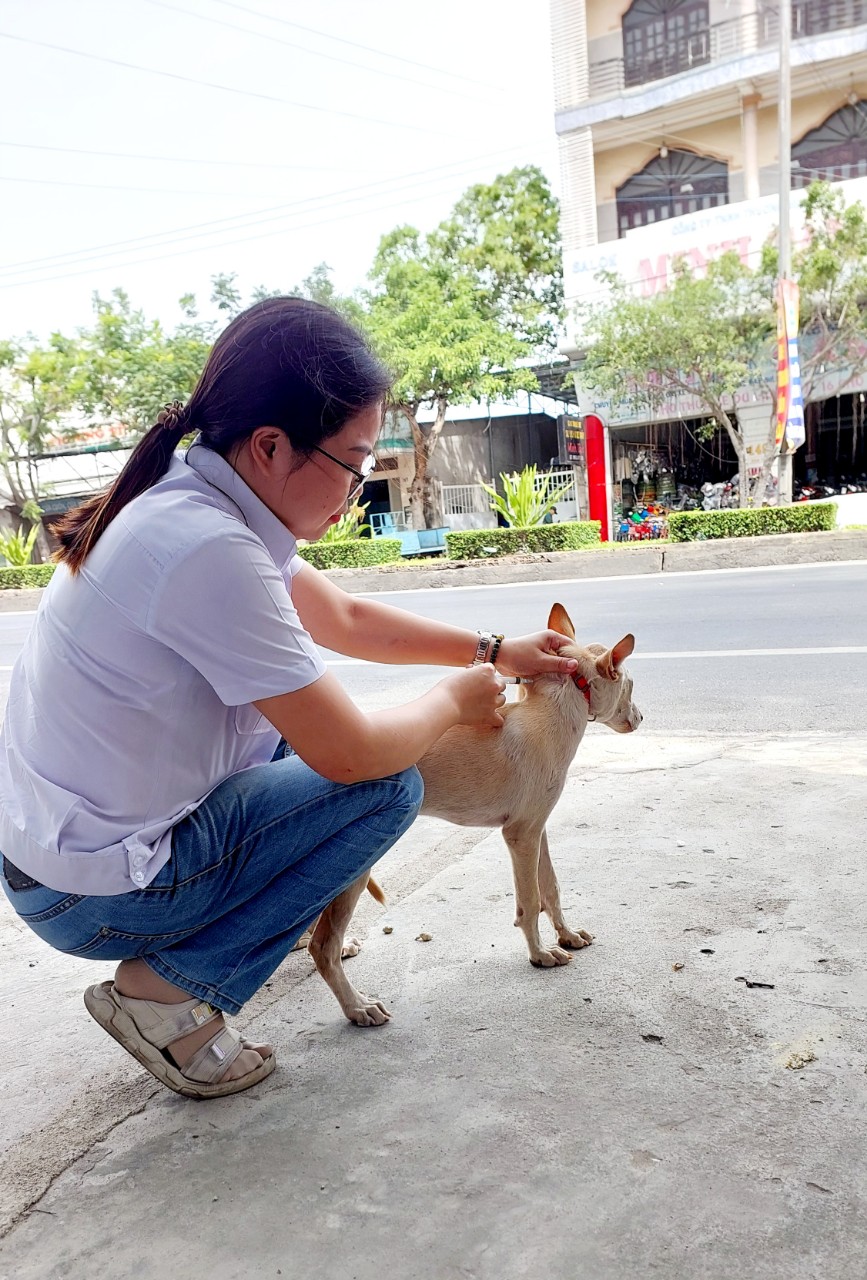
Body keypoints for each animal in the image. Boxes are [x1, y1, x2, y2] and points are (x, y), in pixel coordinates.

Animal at [307, 606, 640, 1029]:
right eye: (631, 685)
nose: (642, 718)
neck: (552, 707)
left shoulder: (538, 829)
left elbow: (550, 888)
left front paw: (565, 936)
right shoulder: (520, 835)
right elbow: (530, 900)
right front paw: (540, 953)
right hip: (357, 868)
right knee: (322, 946)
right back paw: (357, 1006)